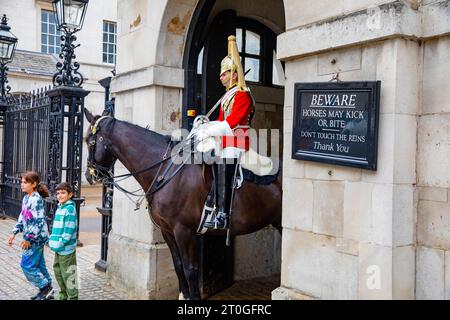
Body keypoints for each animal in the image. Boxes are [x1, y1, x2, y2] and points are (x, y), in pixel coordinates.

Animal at [84, 110, 282, 300]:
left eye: (89, 141)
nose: (89, 175)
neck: (167, 171)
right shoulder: (167, 230)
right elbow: (178, 265)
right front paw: (183, 295)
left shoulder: (184, 230)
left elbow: (190, 269)